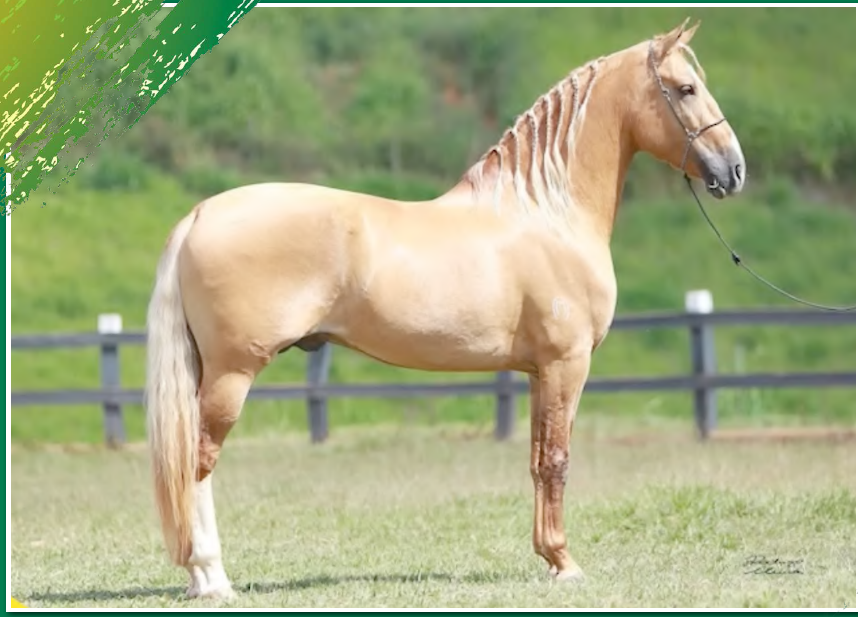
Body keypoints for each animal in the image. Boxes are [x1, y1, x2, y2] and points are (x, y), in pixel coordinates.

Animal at [145, 18, 746, 599]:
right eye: (686, 88)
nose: (735, 170)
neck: (548, 211)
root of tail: (199, 215)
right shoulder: (565, 364)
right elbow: (557, 461)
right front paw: (565, 564)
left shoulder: (537, 372)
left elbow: (535, 460)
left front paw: (547, 559)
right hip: (233, 374)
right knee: (198, 463)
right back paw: (211, 577)